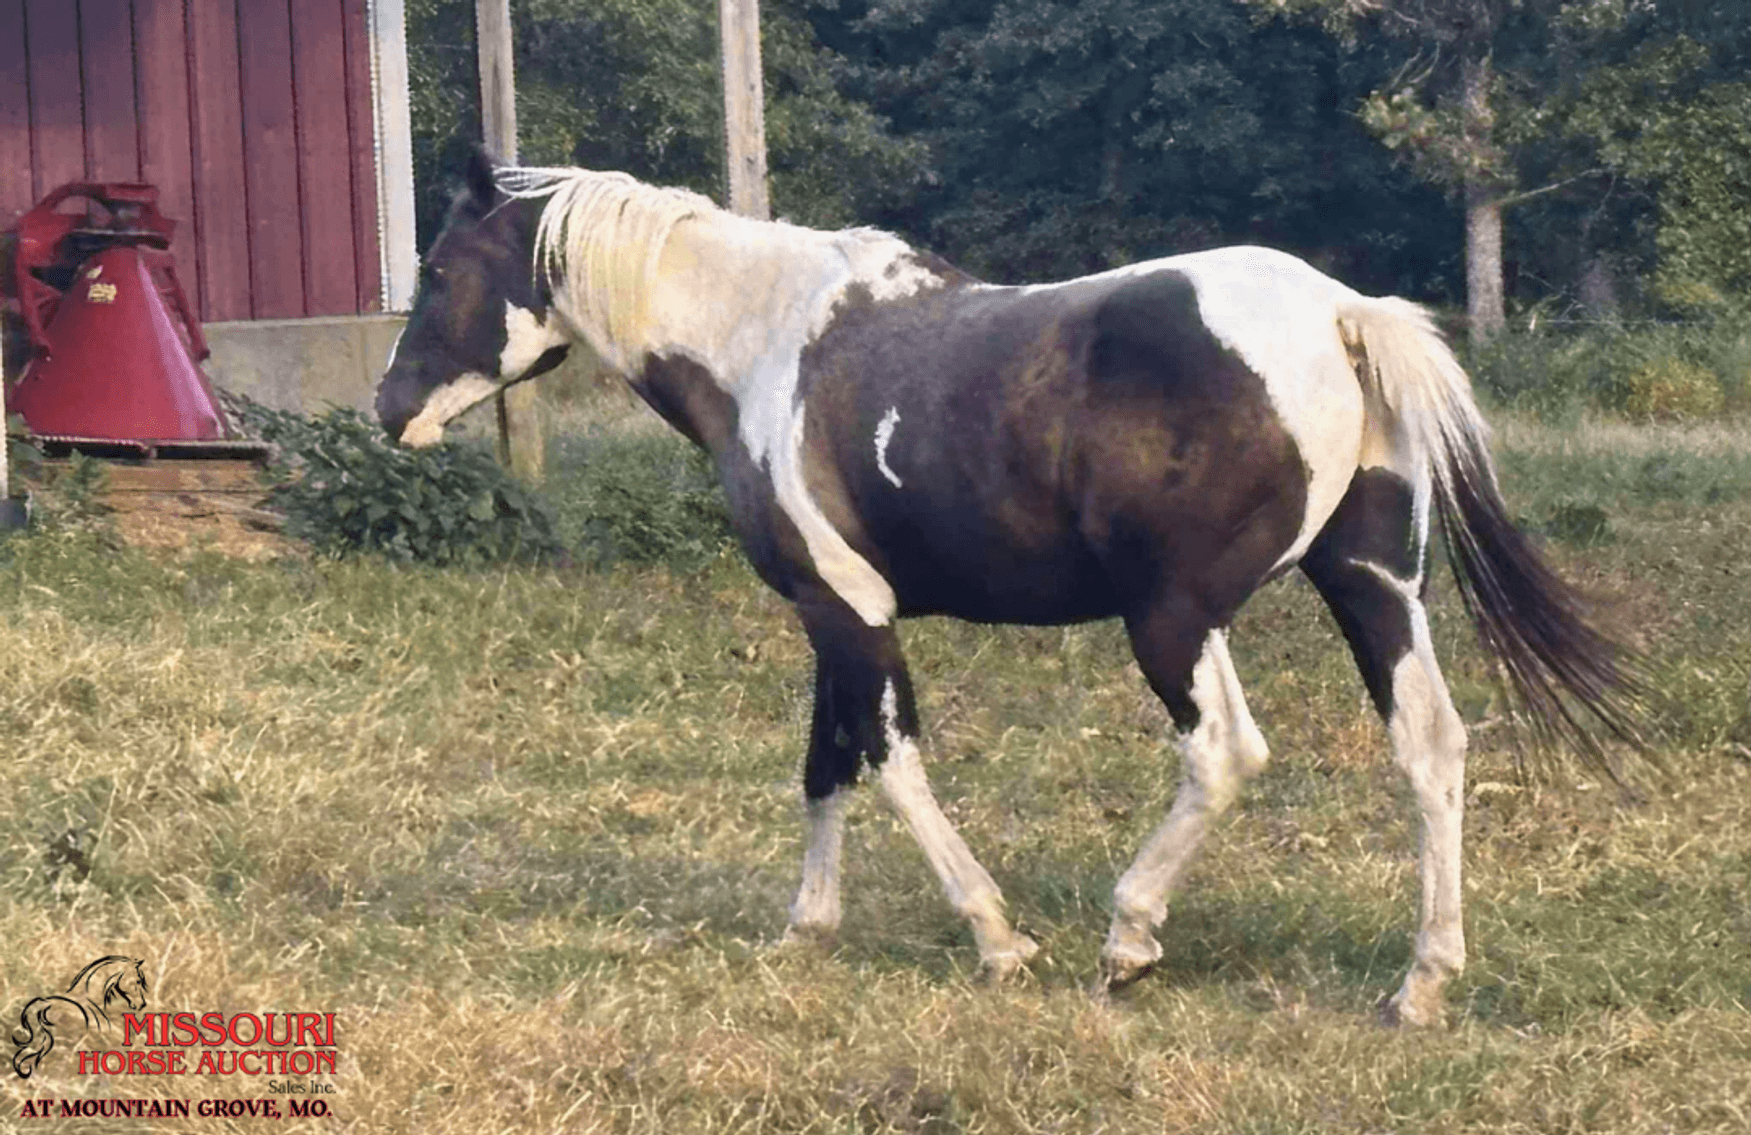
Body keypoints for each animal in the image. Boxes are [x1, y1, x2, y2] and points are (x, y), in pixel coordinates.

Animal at [374, 150, 1644, 1026]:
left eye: (438, 270)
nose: (388, 412)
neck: (763, 344)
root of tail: (1337, 311)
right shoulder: (828, 621)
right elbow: (824, 763)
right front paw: (806, 928)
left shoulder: (847, 611)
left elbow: (886, 762)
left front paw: (995, 939)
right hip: (1370, 589)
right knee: (1429, 747)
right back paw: (1419, 982)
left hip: (1171, 620)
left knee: (1223, 753)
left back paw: (1128, 938)